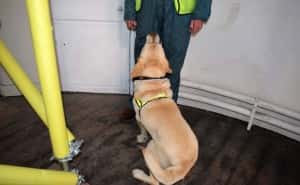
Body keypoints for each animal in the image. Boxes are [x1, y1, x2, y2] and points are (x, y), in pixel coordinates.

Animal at [131, 33, 197, 185]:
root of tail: (184, 165)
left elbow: (142, 129)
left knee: (154, 180)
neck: (153, 80)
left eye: (146, 45)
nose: (154, 33)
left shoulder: (138, 117)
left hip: (152, 148)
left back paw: (138, 173)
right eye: (161, 46)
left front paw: (141, 137)